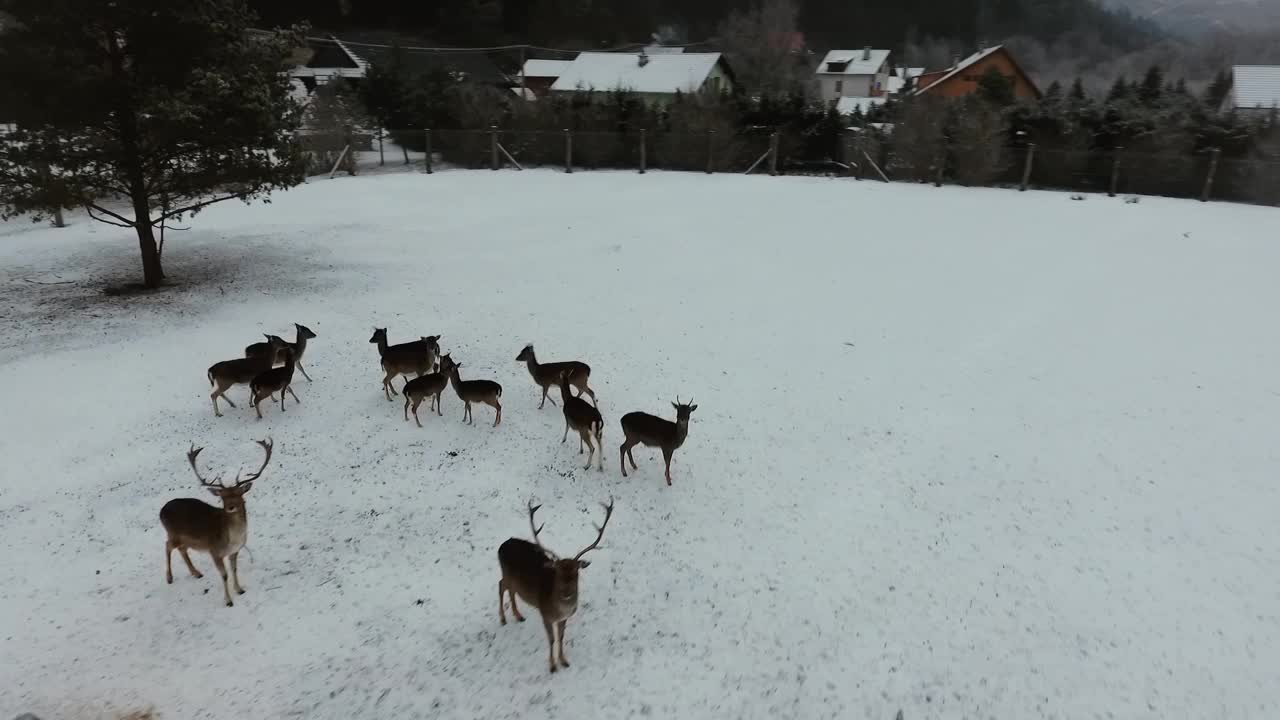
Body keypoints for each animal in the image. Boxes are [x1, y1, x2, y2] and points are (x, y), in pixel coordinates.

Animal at [159, 438, 272, 604]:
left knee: (181, 549)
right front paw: (228, 601)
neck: (233, 538)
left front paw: (240, 590)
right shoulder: (214, 551)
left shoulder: (234, 551)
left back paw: (196, 573)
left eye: (239, 494)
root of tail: (161, 511)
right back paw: (169, 578)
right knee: (168, 545)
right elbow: (224, 575)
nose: (230, 507)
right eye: (222, 497)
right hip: (173, 533)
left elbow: (234, 569)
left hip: (185, 539)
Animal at [499, 497, 614, 671]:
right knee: (501, 586)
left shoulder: (563, 618)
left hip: (513, 580)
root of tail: (501, 545)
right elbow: (551, 639)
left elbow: (561, 637)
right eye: (558, 573)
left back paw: (518, 616)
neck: (559, 609)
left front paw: (564, 661)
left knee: (511, 590)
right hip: (506, 573)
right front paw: (552, 666)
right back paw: (503, 619)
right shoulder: (545, 615)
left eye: (576, 572)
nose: (567, 594)